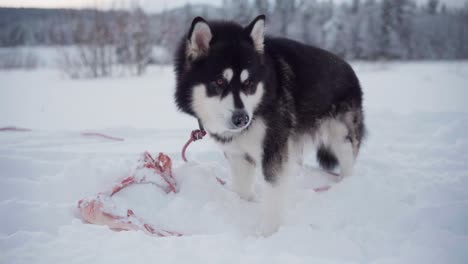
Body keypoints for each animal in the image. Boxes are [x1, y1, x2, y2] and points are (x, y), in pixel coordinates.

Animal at [173, 14, 366, 235]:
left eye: (248, 84)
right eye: (220, 82)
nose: (242, 119)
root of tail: (349, 68)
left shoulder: (273, 151)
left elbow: (273, 195)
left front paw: (267, 233)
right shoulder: (238, 154)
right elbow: (242, 188)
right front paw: (243, 207)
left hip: (340, 136)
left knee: (347, 161)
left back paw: (346, 185)